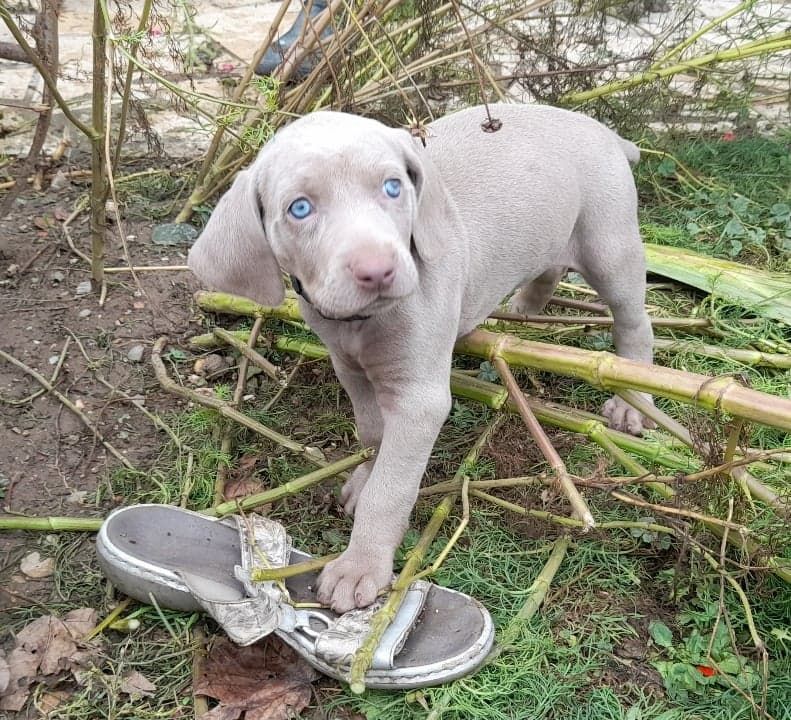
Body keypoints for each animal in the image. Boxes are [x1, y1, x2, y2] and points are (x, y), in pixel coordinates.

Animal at [189, 103, 654, 613]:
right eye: (300, 208)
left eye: (394, 187)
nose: (378, 270)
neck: (362, 323)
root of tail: (604, 131)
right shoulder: (349, 367)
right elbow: (373, 435)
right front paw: (365, 475)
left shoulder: (418, 400)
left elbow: (391, 490)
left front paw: (361, 567)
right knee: (549, 269)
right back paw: (522, 309)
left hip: (609, 241)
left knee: (634, 321)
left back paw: (634, 402)